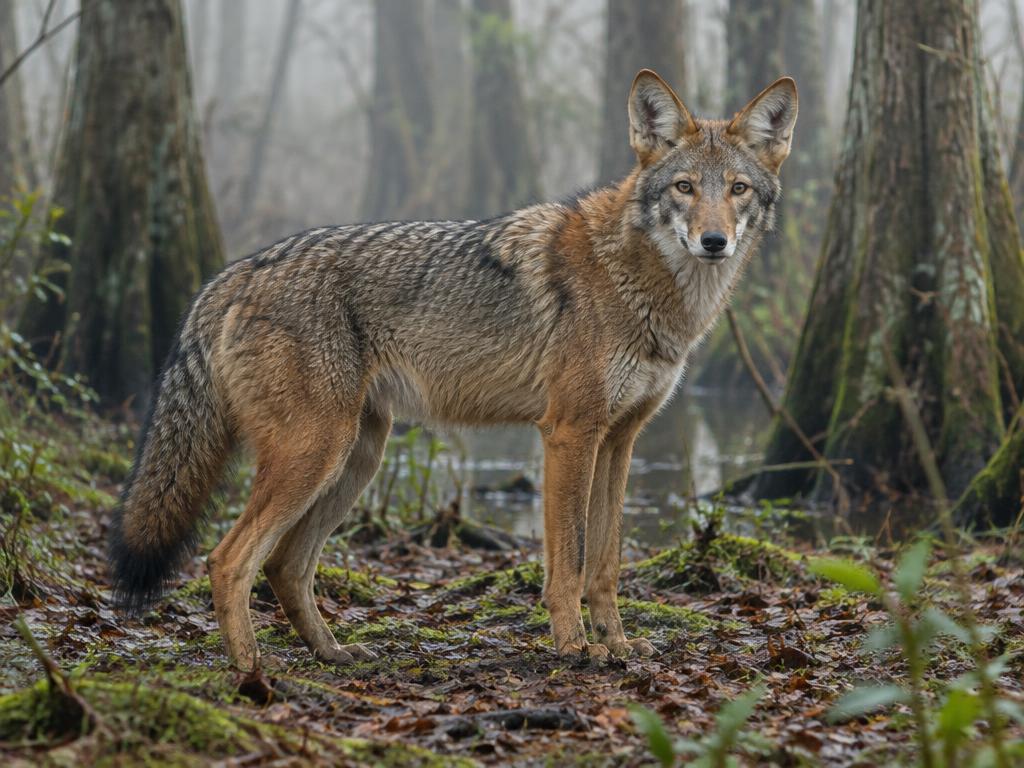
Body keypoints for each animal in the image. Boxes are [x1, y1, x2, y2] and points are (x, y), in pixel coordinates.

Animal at [109, 70, 797, 672]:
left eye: (737, 189)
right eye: (684, 187)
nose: (714, 242)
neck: (641, 282)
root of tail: (234, 273)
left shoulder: (621, 440)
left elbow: (605, 563)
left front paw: (619, 643)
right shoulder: (570, 435)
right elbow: (569, 561)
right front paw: (575, 647)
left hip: (356, 459)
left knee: (284, 566)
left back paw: (331, 654)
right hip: (316, 455)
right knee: (228, 560)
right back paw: (254, 670)